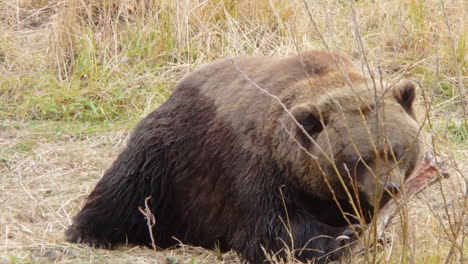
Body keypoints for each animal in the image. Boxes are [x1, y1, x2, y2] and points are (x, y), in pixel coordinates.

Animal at [66, 50, 428, 262]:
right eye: (359, 158)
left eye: (397, 151)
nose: (389, 188)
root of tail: (177, 87)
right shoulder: (256, 166)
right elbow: (274, 228)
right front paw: (342, 237)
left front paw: (371, 232)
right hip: (171, 153)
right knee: (129, 186)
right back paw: (89, 232)